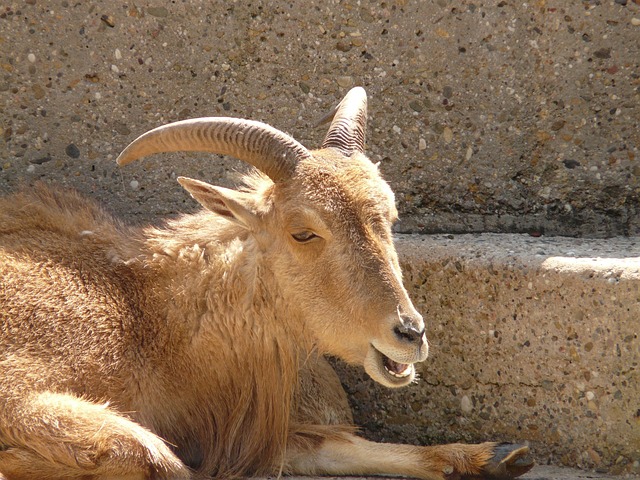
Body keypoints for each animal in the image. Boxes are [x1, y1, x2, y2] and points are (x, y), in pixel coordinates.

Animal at [0, 87, 532, 480]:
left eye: (390, 217)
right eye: (303, 231)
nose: (410, 333)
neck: (150, 318)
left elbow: (329, 445)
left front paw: (491, 455)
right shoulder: (24, 391)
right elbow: (151, 458)